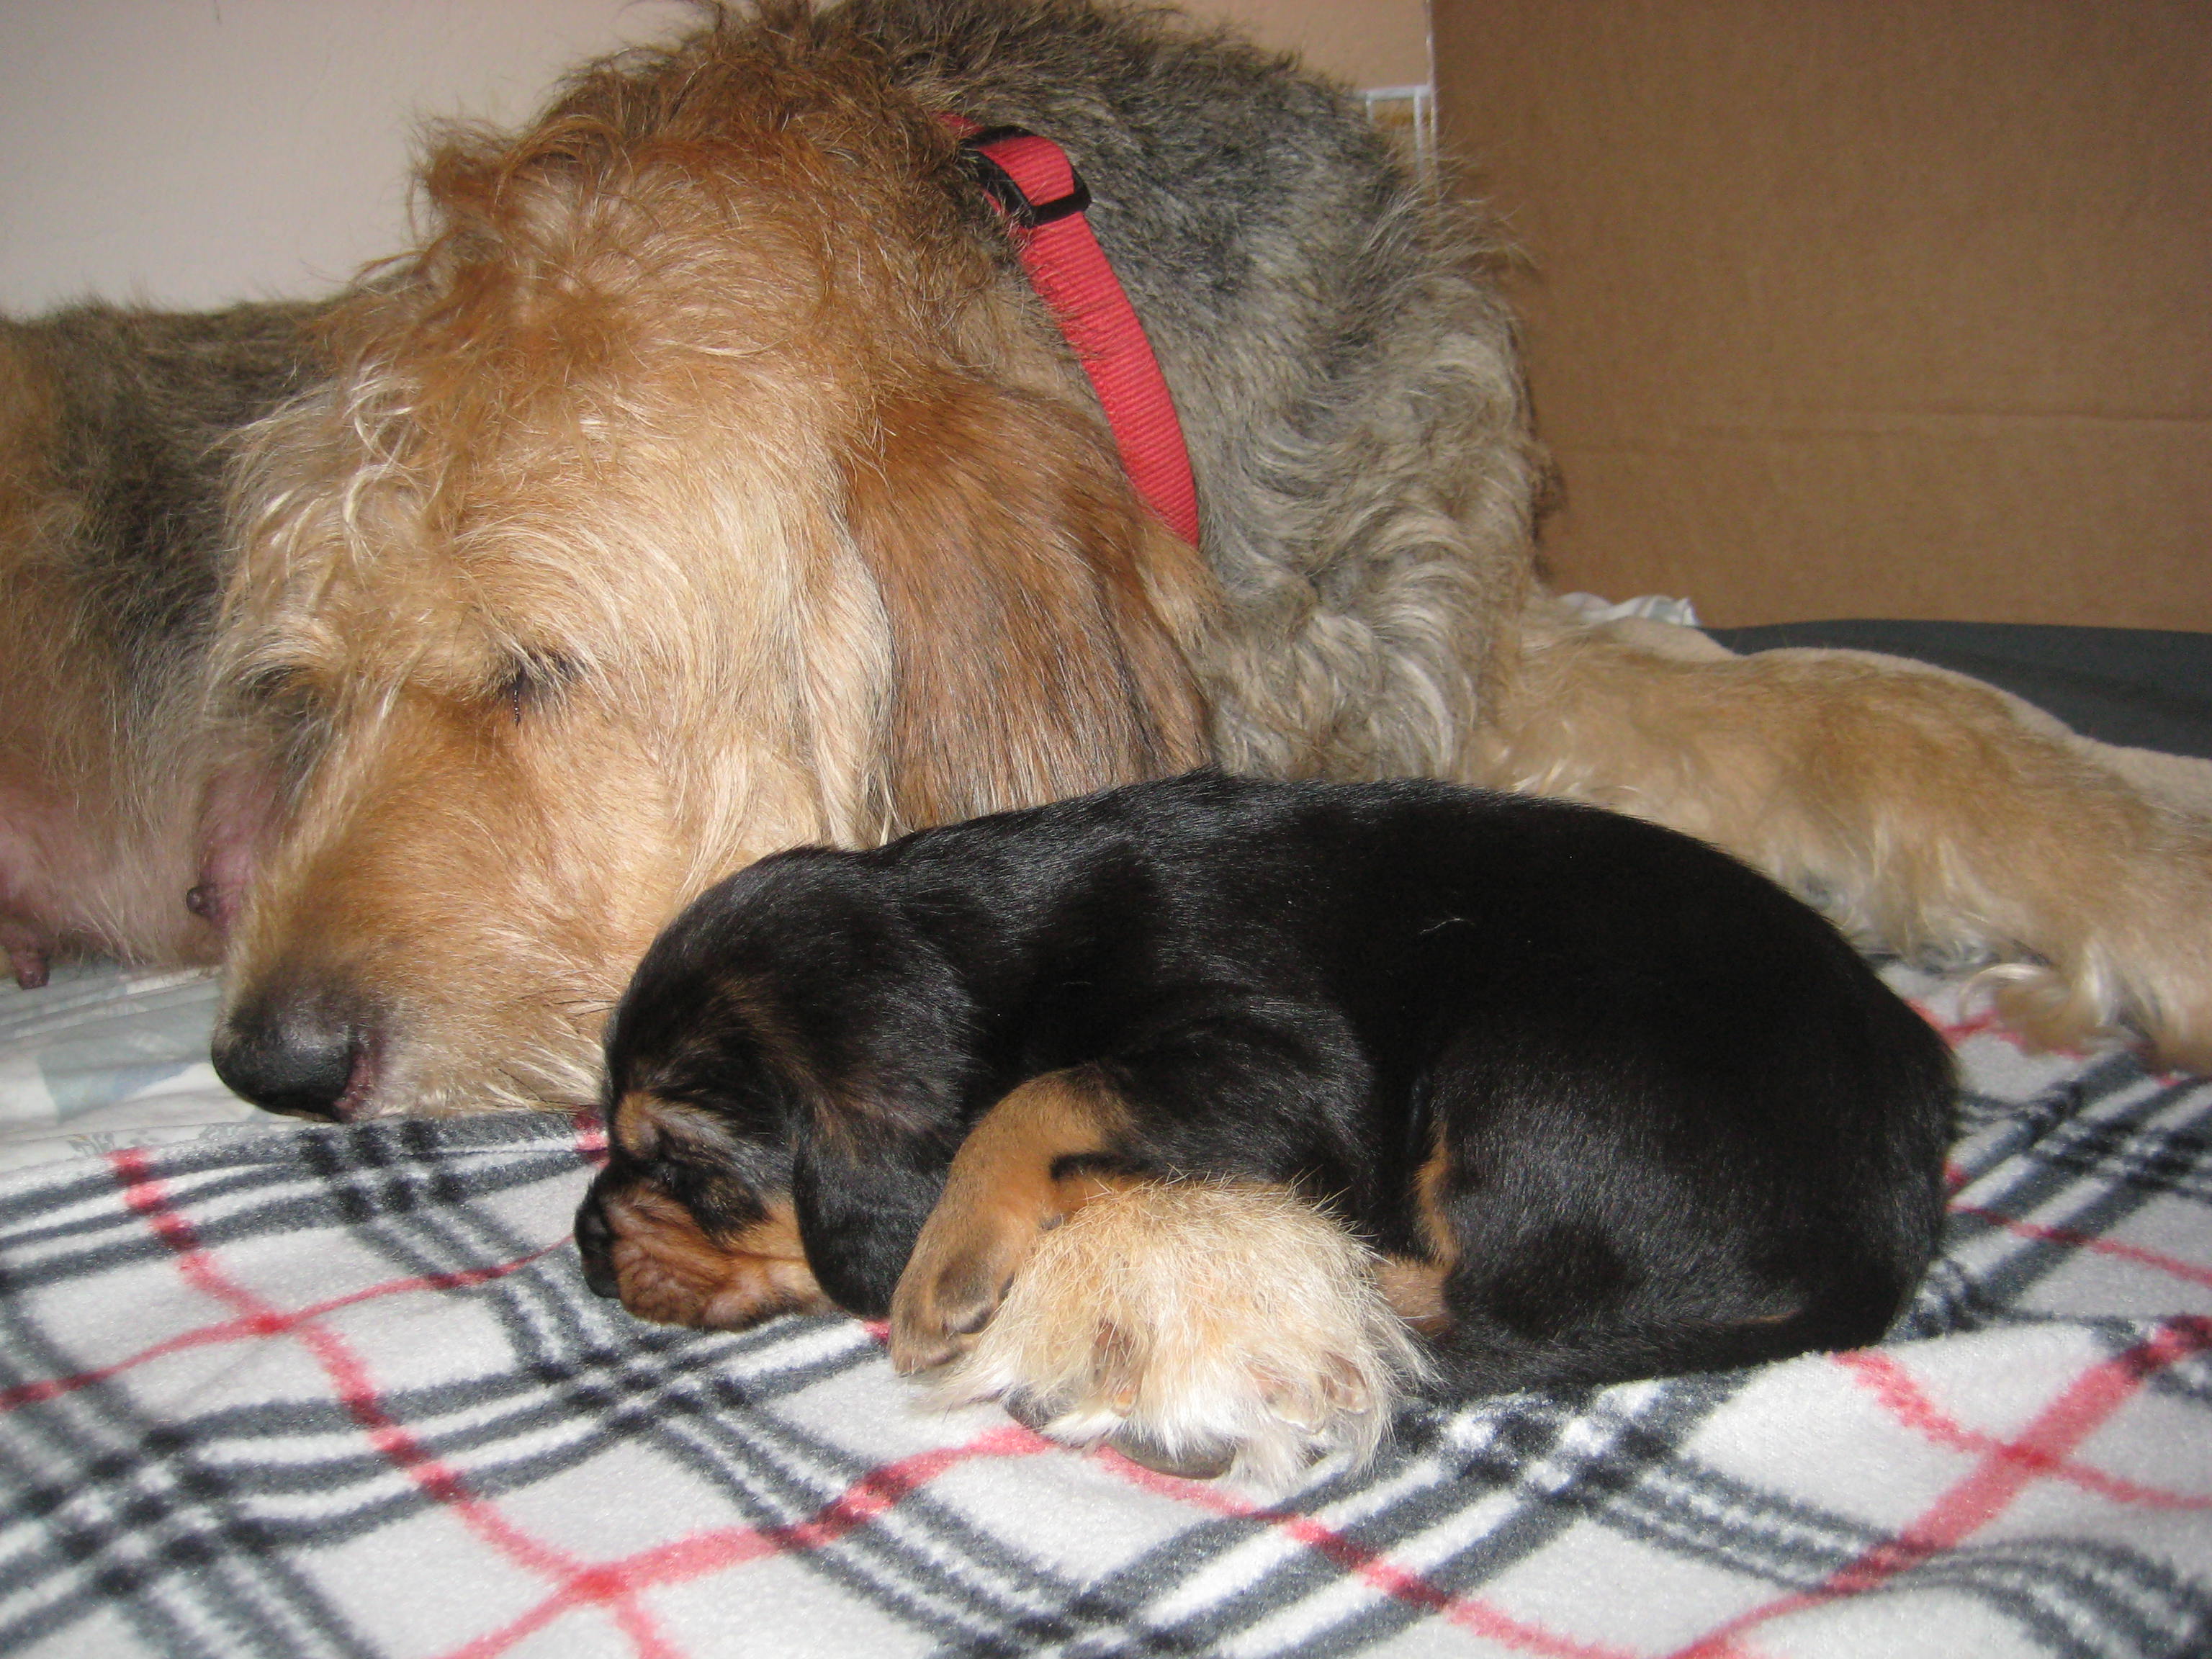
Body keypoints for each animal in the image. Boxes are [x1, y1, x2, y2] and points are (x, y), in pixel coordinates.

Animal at [576, 771, 1957, 1483]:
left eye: (679, 1158)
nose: (586, 1246)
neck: (981, 956)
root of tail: (1889, 1227)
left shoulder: (1293, 1064)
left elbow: (1044, 1091)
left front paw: (950, 1265)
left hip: (1519, 1061)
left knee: (1474, 1296)